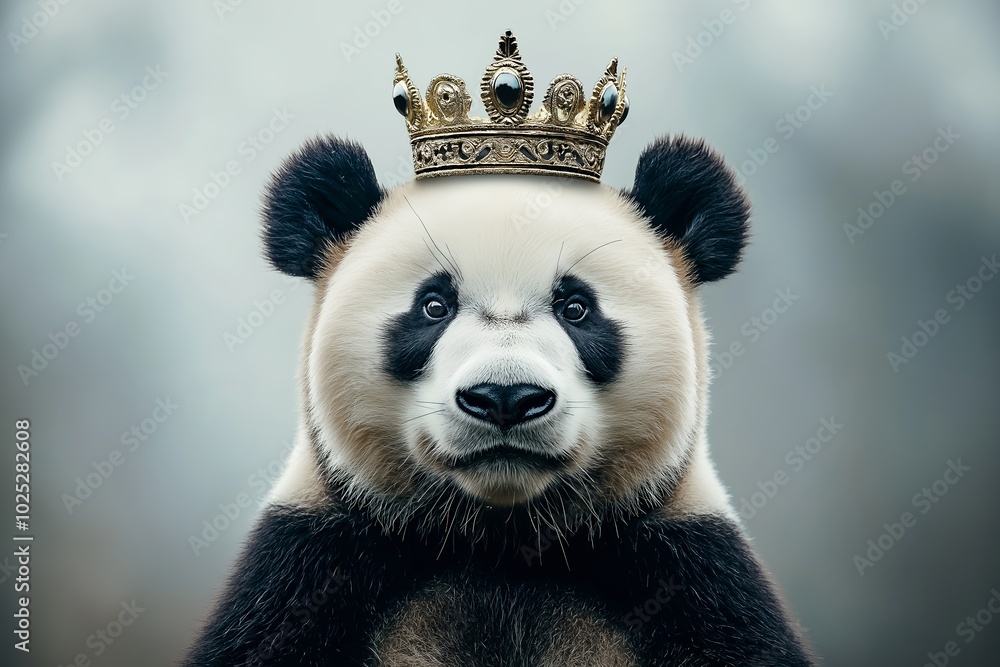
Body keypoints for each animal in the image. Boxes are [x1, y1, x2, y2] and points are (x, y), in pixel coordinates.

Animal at [182, 134, 816, 664]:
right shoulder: (310, 574)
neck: (500, 543)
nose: (506, 397)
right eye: (433, 305)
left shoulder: (689, 577)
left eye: (576, 307)